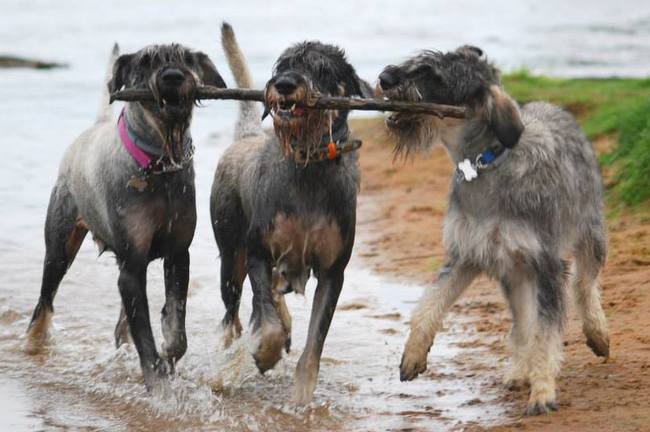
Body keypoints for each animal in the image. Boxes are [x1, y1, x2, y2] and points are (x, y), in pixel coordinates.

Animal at [25, 43, 226, 390]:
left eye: (187, 57)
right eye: (146, 61)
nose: (173, 76)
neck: (159, 165)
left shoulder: (178, 254)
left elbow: (177, 325)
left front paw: (169, 352)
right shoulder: (131, 267)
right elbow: (143, 332)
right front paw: (158, 383)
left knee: (121, 322)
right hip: (60, 247)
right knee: (45, 300)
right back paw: (34, 341)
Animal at [211, 23, 369, 404]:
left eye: (322, 69)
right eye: (282, 65)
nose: (283, 85)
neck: (309, 165)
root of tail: (247, 136)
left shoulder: (333, 272)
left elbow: (314, 343)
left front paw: (301, 398)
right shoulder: (258, 252)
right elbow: (265, 322)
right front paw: (264, 354)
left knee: (270, 298)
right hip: (231, 258)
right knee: (236, 315)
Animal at [377, 46, 609, 415]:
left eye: (432, 73)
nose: (384, 78)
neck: (486, 163)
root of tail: (555, 107)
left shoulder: (546, 265)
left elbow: (545, 333)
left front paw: (543, 392)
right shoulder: (465, 256)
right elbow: (429, 304)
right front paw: (413, 354)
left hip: (588, 232)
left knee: (584, 285)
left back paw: (597, 334)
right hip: (514, 272)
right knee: (521, 323)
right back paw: (518, 370)